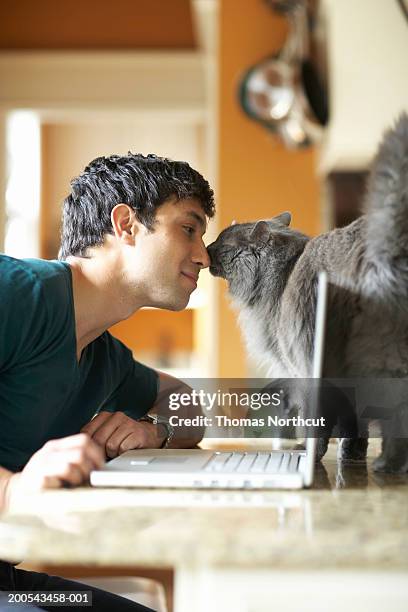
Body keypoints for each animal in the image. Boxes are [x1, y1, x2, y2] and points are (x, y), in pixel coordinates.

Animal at [209, 112, 408, 470]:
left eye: (223, 245)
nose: (206, 248)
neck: (281, 277)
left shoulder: (303, 367)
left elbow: (323, 420)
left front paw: (312, 452)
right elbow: (353, 426)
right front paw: (350, 457)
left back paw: (387, 464)